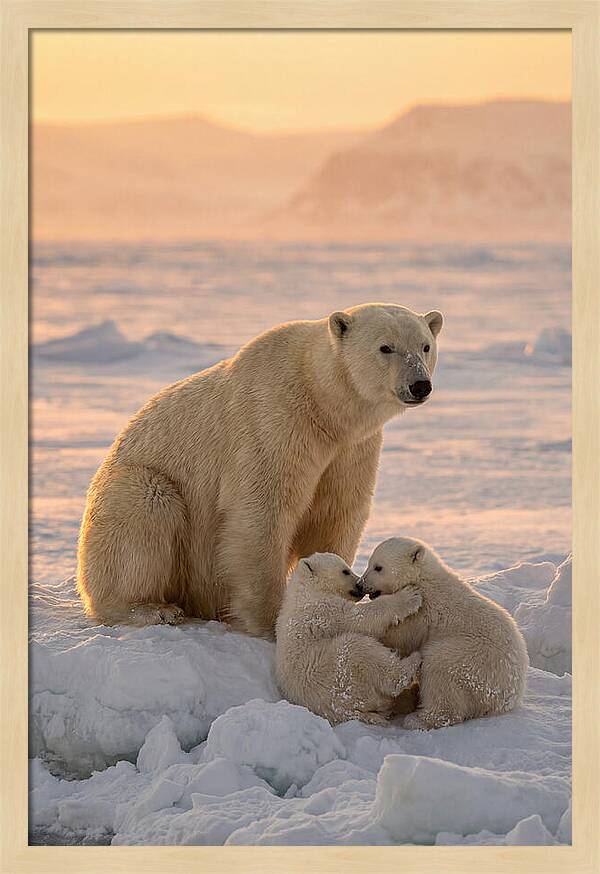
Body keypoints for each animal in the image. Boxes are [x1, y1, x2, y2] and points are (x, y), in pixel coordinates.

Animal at [76, 303, 443, 638]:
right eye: (385, 347)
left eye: (424, 345)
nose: (420, 385)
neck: (321, 403)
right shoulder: (274, 421)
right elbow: (262, 511)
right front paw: (272, 621)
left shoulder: (351, 449)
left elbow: (336, 511)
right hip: (134, 488)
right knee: (146, 508)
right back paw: (152, 609)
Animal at [275, 552, 423, 725]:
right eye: (345, 571)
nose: (359, 585)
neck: (305, 589)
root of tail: (345, 712)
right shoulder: (322, 609)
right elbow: (360, 618)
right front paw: (410, 596)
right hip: (337, 674)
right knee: (360, 651)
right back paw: (413, 660)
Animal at [359, 537, 529, 730]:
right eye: (369, 563)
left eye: (378, 567)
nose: (360, 584)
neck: (422, 577)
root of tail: (508, 699)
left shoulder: (422, 613)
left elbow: (399, 636)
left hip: (473, 660)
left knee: (438, 668)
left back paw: (417, 719)